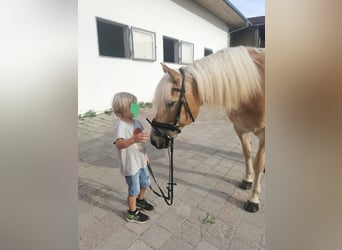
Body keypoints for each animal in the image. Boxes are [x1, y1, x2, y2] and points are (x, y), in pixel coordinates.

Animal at [149, 46, 264, 212]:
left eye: (170, 103)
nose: (154, 140)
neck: (254, 88)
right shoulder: (240, 128)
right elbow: (247, 154)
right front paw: (248, 180)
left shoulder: (264, 134)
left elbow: (258, 164)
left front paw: (254, 199)